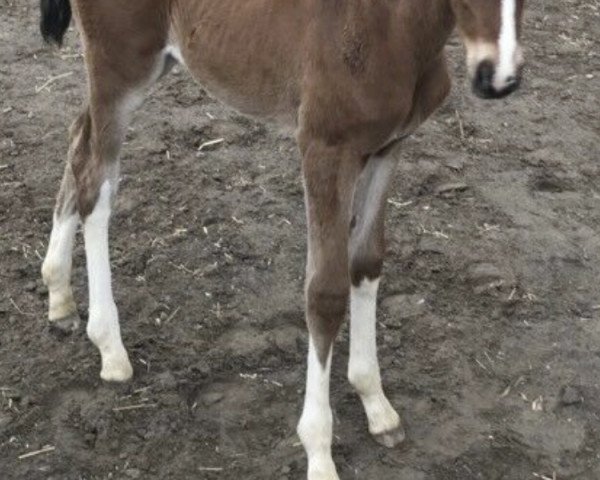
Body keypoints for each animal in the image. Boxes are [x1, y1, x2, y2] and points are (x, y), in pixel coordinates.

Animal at [39, 1, 524, 478]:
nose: (498, 77)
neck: (389, 28)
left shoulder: (389, 146)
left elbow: (366, 262)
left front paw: (376, 404)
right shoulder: (324, 149)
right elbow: (325, 294)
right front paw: (320, 452)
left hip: (149, 68)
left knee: (78, 142)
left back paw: (59, 294)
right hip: (120, 69)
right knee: (95, 185)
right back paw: (109, 345)